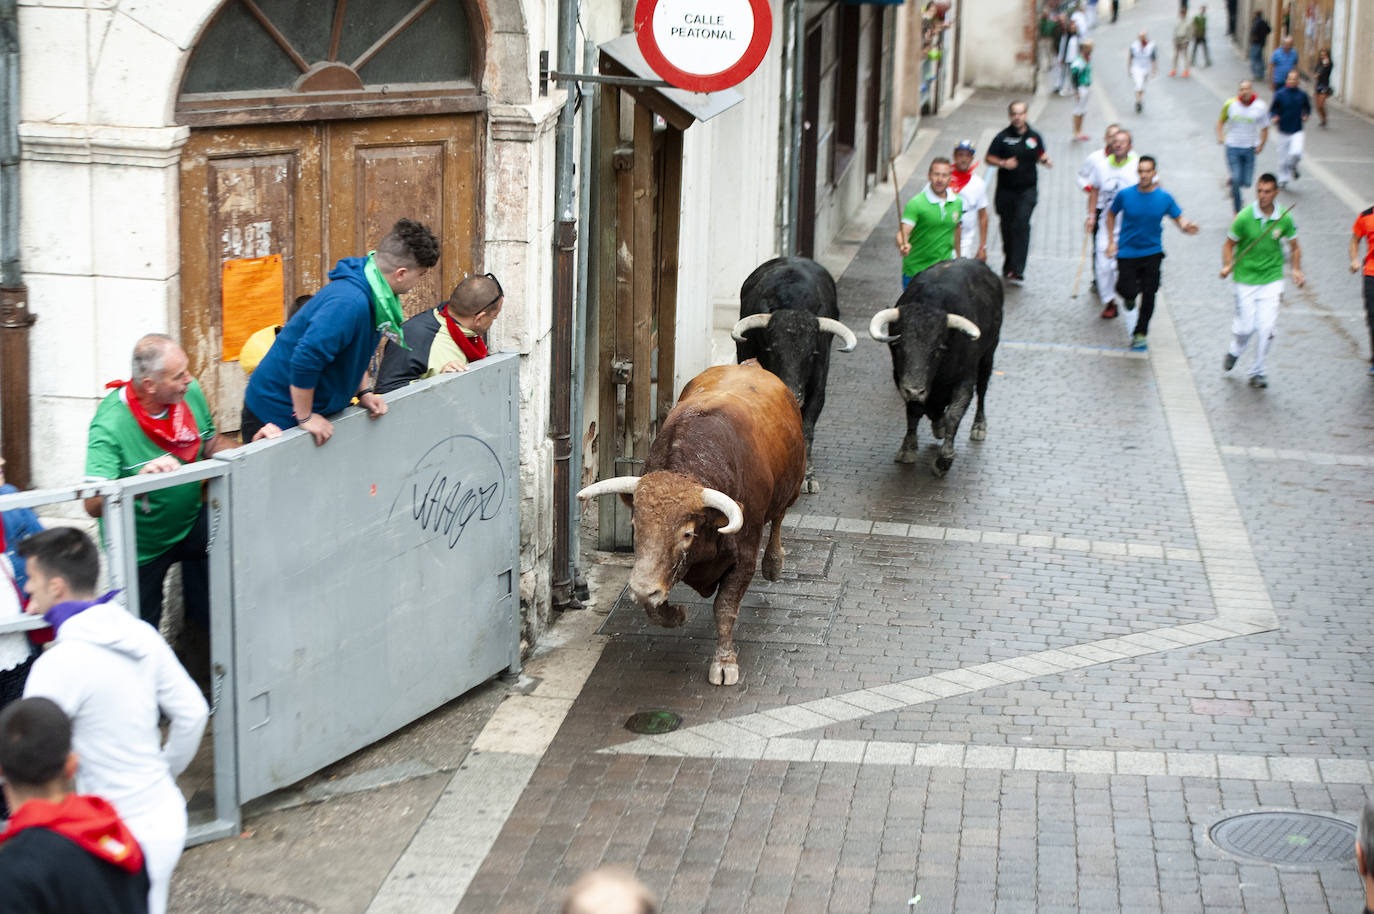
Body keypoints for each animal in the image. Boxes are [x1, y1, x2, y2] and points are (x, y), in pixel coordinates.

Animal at [577, 360, 802, 681]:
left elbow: (725, 608)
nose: (641, 587)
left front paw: (724, 663)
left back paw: (774, 563)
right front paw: (677, 614)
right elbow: (655, 606)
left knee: (780, 517)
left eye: (686, 534)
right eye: (635, 527)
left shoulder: (745, 558)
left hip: (792, 487)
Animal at [873, 252, 1005, 472]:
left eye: (937, 350)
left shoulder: (965, 380)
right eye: (898, 346)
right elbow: (915, 411)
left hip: (989, 354)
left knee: (983, 389)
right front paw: (908, 449)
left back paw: (979, 426)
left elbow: (954, 415)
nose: (914, 390)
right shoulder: (901, 379)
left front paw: (944, 459)